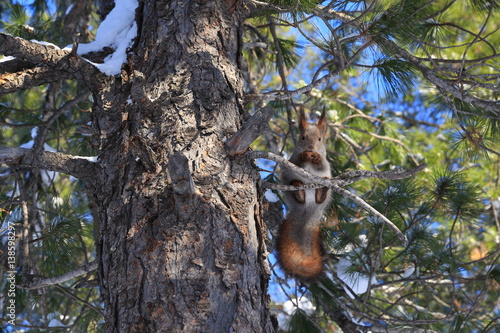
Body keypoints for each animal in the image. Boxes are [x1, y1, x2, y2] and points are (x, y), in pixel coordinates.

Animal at [278, 107, 332, 278]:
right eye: (302, 137)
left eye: (320, 139)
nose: (311, 149)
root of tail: (307, 209)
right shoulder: (292, 161)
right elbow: (297, 160)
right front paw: (304, 155)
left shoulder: (326, 165)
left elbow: (322, 165)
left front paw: (316, 158)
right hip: (287, 182)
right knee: (296, 193)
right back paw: (298, 190)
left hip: (327, 189)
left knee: (322, 195)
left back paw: (321, 191)